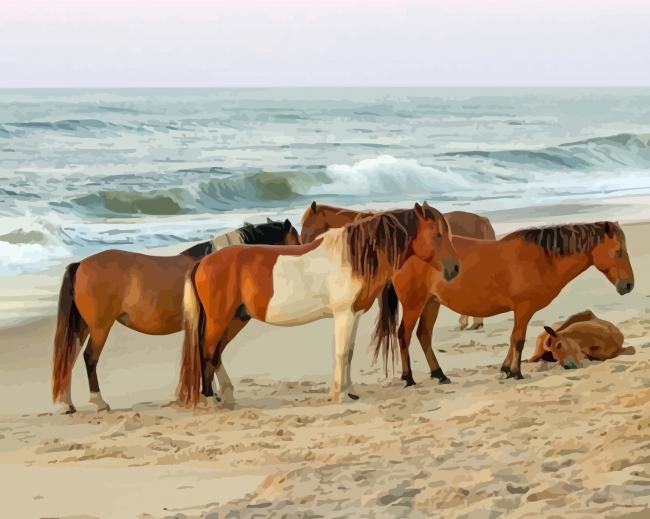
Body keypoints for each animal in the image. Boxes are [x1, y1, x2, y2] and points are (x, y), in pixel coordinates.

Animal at [52, 219, 300, 414]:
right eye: (296, 241)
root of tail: (80, 264)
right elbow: (211, 353)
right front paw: (217, 394)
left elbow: (211, 354)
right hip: (100, 327)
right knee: (89, 358)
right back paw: (99, 402)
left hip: (83, 326)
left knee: (69, 357)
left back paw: (67, 404)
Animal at [177, 202, 460, 407]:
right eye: (437, 235)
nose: (455, 268)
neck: (352, 257)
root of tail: (202, 262)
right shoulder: (344, 315)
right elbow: (342, 353)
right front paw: (340, 395)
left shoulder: (354, 314)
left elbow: (349, 352)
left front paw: (350, 391)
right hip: (219, 320)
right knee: (207, 351)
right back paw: (210, 399)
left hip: (236, 319)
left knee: (216, 353)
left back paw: (224, 396)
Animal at [373, 221, 634, 384]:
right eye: (618, 251)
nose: (628, 285)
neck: (543, 258)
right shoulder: (523, 308)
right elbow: (517, 340)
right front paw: (515, 372)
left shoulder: (522, 310)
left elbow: (513, 339)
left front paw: (506, 370)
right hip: (415, 304)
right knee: (404, 335)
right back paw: (409, 377)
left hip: (431, 303)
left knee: (424, 335)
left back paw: (440, 375)